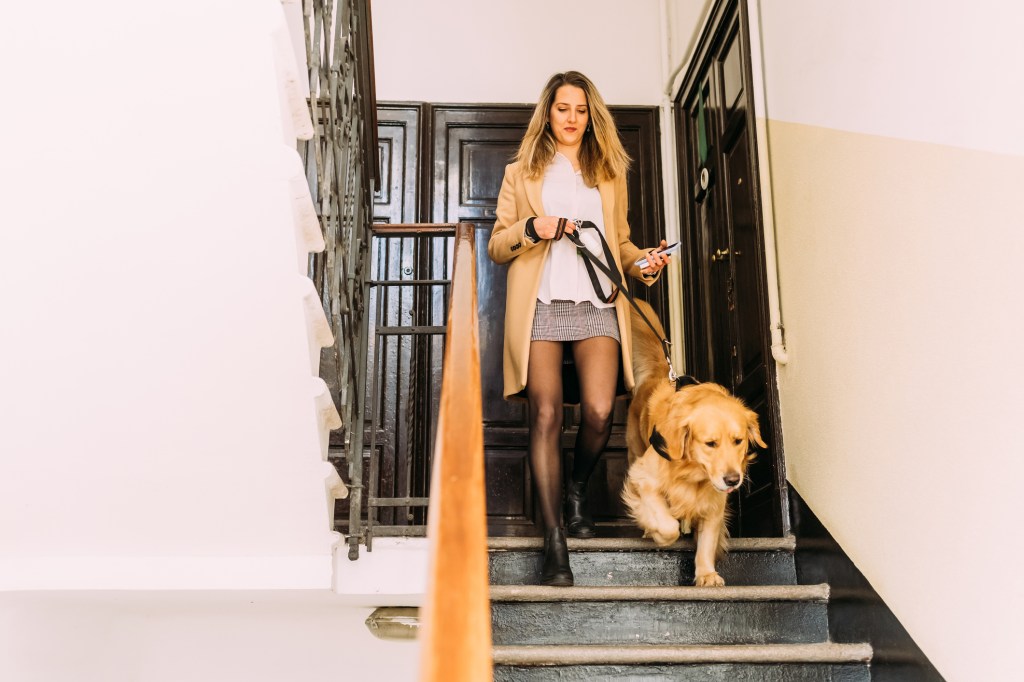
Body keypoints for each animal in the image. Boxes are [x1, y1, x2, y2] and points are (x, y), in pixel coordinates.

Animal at [618, 299, 765, 585]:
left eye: (738, 440)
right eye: (710, 443)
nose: (733, 480)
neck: (693, 473)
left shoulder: (715, 500)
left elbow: (707, 540)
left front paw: (706, 573)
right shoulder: (643, 477)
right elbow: (668, 526)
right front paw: (657, 531)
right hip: (634, 449)